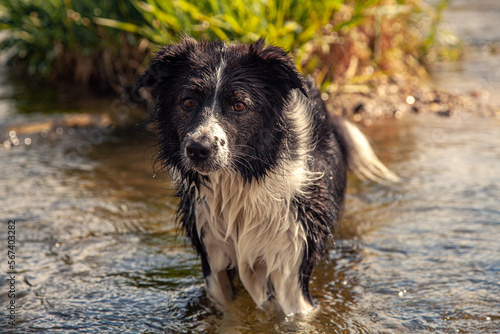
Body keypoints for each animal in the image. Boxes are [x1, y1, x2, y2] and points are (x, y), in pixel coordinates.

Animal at [134, 37, 398, 316]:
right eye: (187, 102)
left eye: (239, 105)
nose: (198, 149)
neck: (242, 182)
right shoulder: (212, 254)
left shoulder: (293, 256)